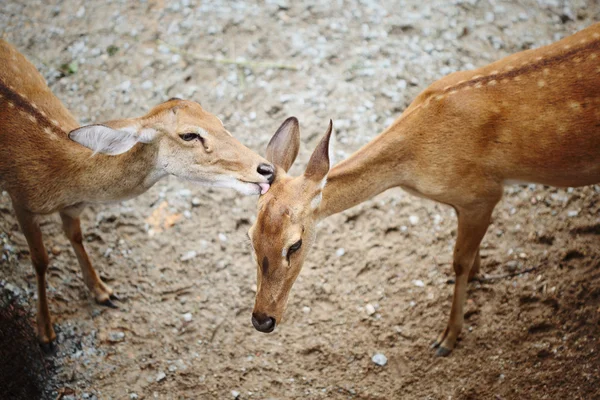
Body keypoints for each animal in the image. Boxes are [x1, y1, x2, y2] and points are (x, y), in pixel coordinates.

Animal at [0, 40, 276, 346]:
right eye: (189, 135)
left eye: (218, 121)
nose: (267, 169)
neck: (63, 180)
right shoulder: (20, 199)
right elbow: (40, 260)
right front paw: (46, 333)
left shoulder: (71, 208)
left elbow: (75, 236)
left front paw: (103, 292)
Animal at [245, 22, 600, 356]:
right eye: (250, 236)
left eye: (295, 244)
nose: (262, 320)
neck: (414, 163)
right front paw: (477, 276)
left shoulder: (482, 194)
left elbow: (459, 261)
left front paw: (448, 337)